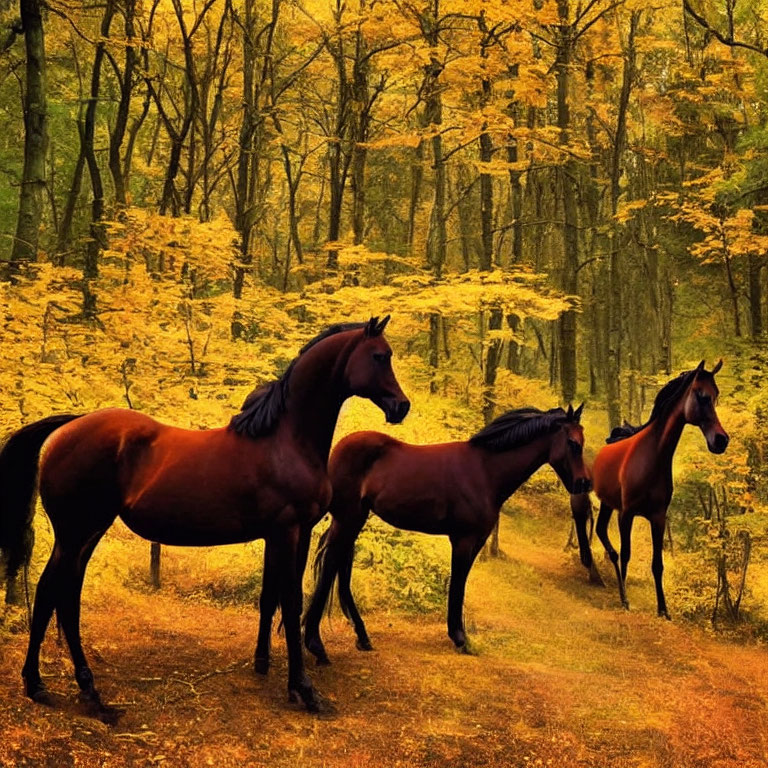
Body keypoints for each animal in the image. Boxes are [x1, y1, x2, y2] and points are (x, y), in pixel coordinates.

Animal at [0, 316, 412, 716]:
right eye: (379, 356)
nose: (401, 407)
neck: (285, 441)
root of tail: (69, 426)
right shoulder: (289, 531)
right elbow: (291, 600)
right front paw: (304, 690)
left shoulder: (281, 534)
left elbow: (269, 597)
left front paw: (263, 663)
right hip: (75, 532)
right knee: (51, 592)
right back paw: (53, 686)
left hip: (88, 531)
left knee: (64, 594)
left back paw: (71, 687)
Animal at [304, 402, 592, 664]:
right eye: (573, 443)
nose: (584, 483)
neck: (485, 470)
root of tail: (338, 449)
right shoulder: (463, 540)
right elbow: (458, 584)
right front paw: (459, 637)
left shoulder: (476, 541)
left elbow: (460, 584)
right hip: (348, 518)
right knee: (331, 564)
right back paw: (315, 643)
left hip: (354, 519)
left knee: (340, 566)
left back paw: (361, 636)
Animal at [588, 360, 728, 616]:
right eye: (701, 395)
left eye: (716, 396)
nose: (721, 440)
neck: (651, 457)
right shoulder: (626, 514)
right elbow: (626, 554)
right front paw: (625, 600)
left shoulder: (658, 517)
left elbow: (657, 564)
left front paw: (663, 609)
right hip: (608, 504)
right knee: (609, 543)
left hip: (608, 505)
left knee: (603, 533)